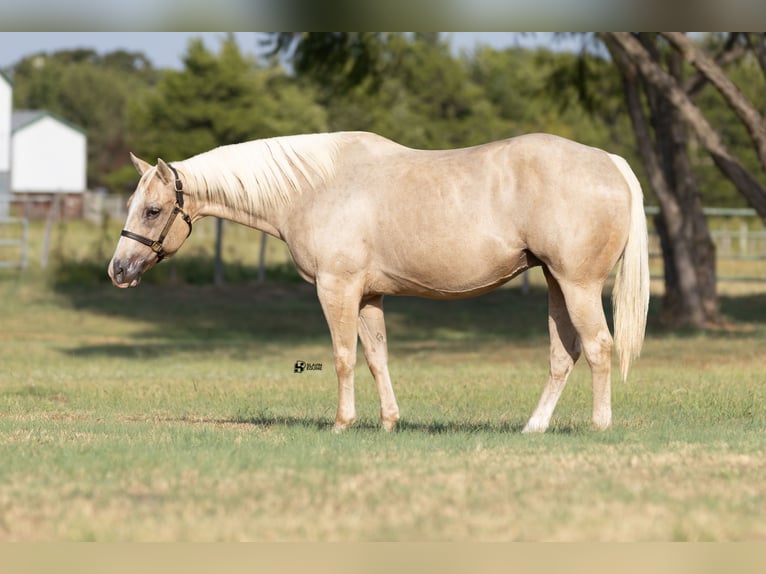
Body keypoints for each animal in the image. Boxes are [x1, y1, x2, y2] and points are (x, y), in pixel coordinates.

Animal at [108, 131, 650, 433]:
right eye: (132, 205)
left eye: (152, 209)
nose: (118, 270)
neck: (315, 187)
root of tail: (612, 163)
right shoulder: (369, 295)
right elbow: (376, 357)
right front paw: (389, 423)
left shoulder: (338, 288)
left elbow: (344, 357)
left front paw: (341, 424)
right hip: (557, 284)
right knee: (563, 354)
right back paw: (533, 428)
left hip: (578, 285)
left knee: (599, 347)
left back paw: (599, 426)